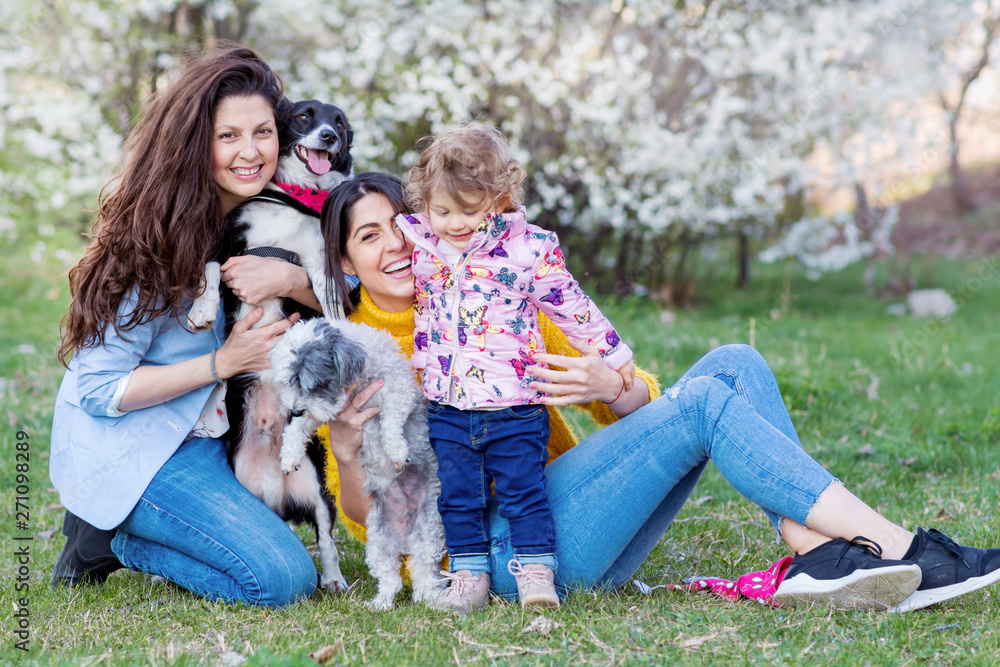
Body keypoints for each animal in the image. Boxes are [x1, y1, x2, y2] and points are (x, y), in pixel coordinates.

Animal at [272, 318, 448, 612]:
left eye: (313, 384)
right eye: (288, 383)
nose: (292, 409)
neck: (357, 384)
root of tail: (404, 533)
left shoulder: (399, 393)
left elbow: (390, 422)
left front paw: (397, 451)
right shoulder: (323, 412)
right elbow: (296, 429)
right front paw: (289, 458)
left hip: (428, 532)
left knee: (424, 574)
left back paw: (429, 600)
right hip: (379, 542)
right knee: (391, 579)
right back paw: (381, 603)